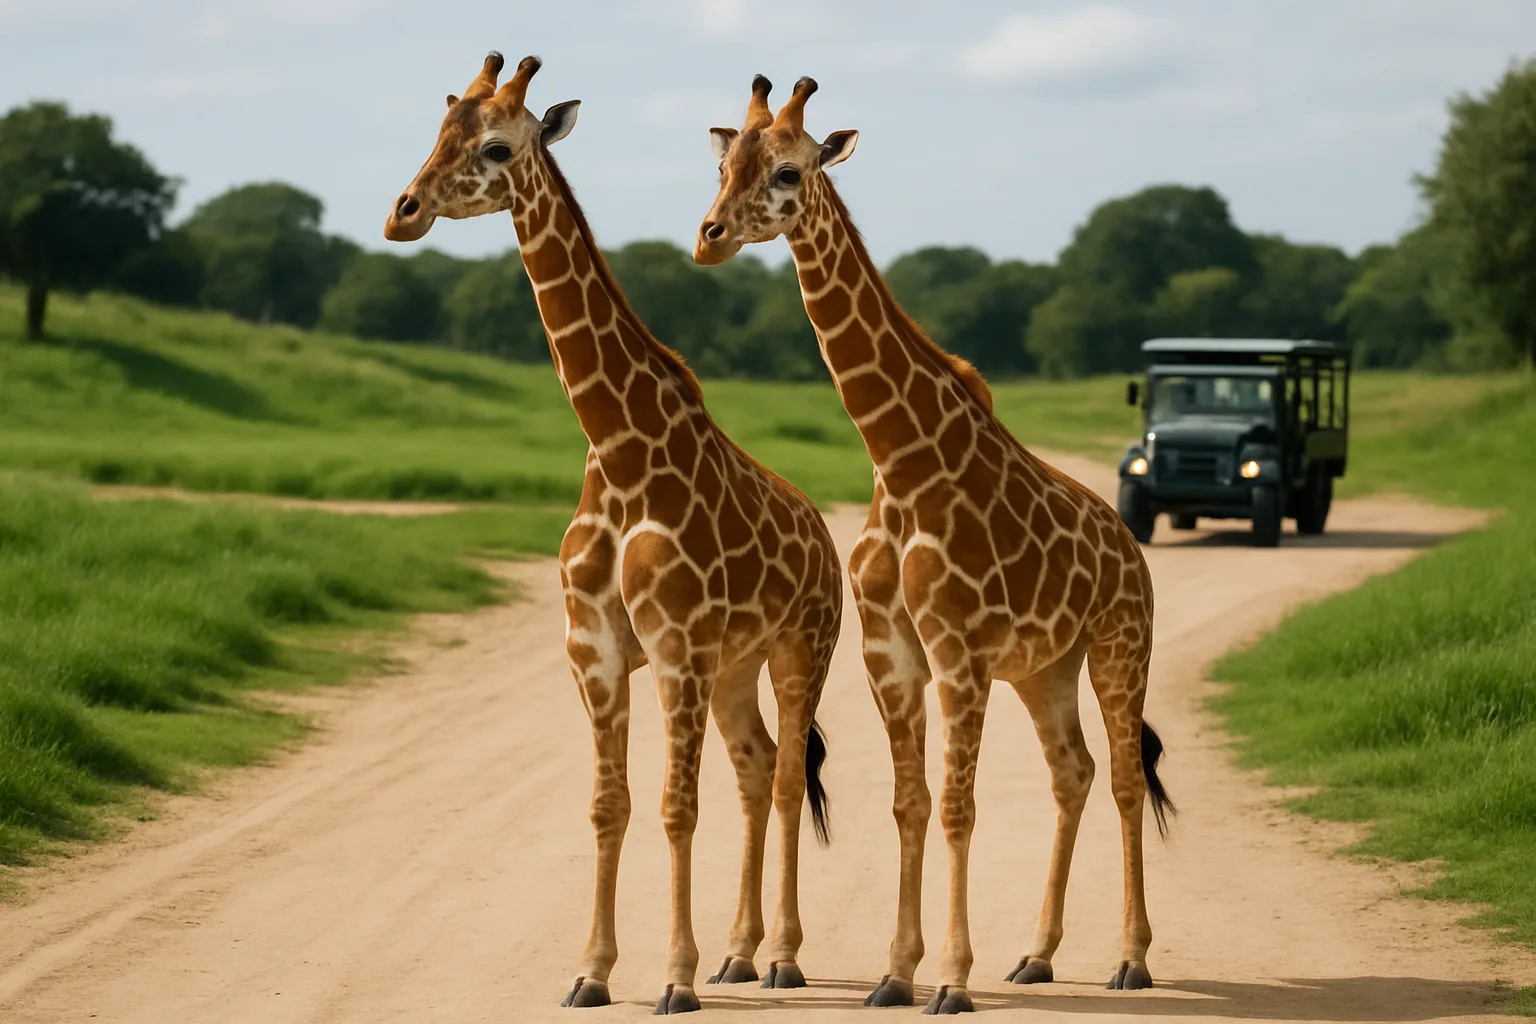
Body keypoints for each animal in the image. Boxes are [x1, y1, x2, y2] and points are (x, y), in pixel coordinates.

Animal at [383, 53, 845, 1014]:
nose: (400, 212)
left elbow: (674, 806)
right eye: (436, 131)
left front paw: (672, 979)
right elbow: (610, 804)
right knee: (756, 767)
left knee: (787, 777)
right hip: (736, 663)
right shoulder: (593, 648)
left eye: (494, 146)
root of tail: (823, 533)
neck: (619, 453)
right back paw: (738, 954)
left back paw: (782, 956)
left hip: (802, 647)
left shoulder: (674, 648)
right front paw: (592, 973)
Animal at [693, 76, 1175, 1014]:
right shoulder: (892, 650)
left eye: (790, 171)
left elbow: (957, 807)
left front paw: (951, 979)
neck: (901, 461)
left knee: (1126, 776)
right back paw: (1035, 955)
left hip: (1120, 644)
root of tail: (1129, 546)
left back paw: (1131, 959)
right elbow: (910, 804)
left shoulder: (958, 650)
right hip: (1044, 667)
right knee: (1073, 771)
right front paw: (896, 972)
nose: (710, 236)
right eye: (723, 166)